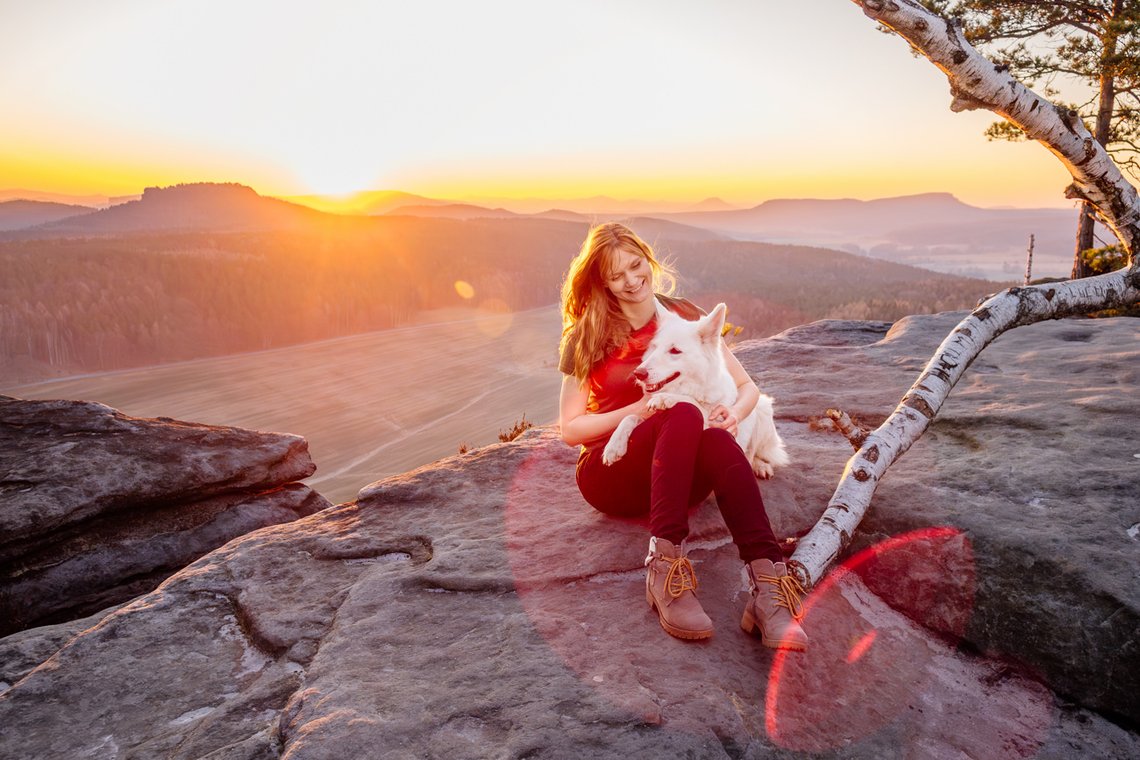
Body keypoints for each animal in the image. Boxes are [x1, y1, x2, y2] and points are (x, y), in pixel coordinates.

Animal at [601, 300, 788, 478]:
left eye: (675, 350)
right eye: (655, 347)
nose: (638, 373)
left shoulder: (717, 421)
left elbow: (693, 404)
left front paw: (665, 399)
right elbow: (629, 416)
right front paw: (614, 445)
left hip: (762, 408)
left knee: (754, 454)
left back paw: (760, 465)